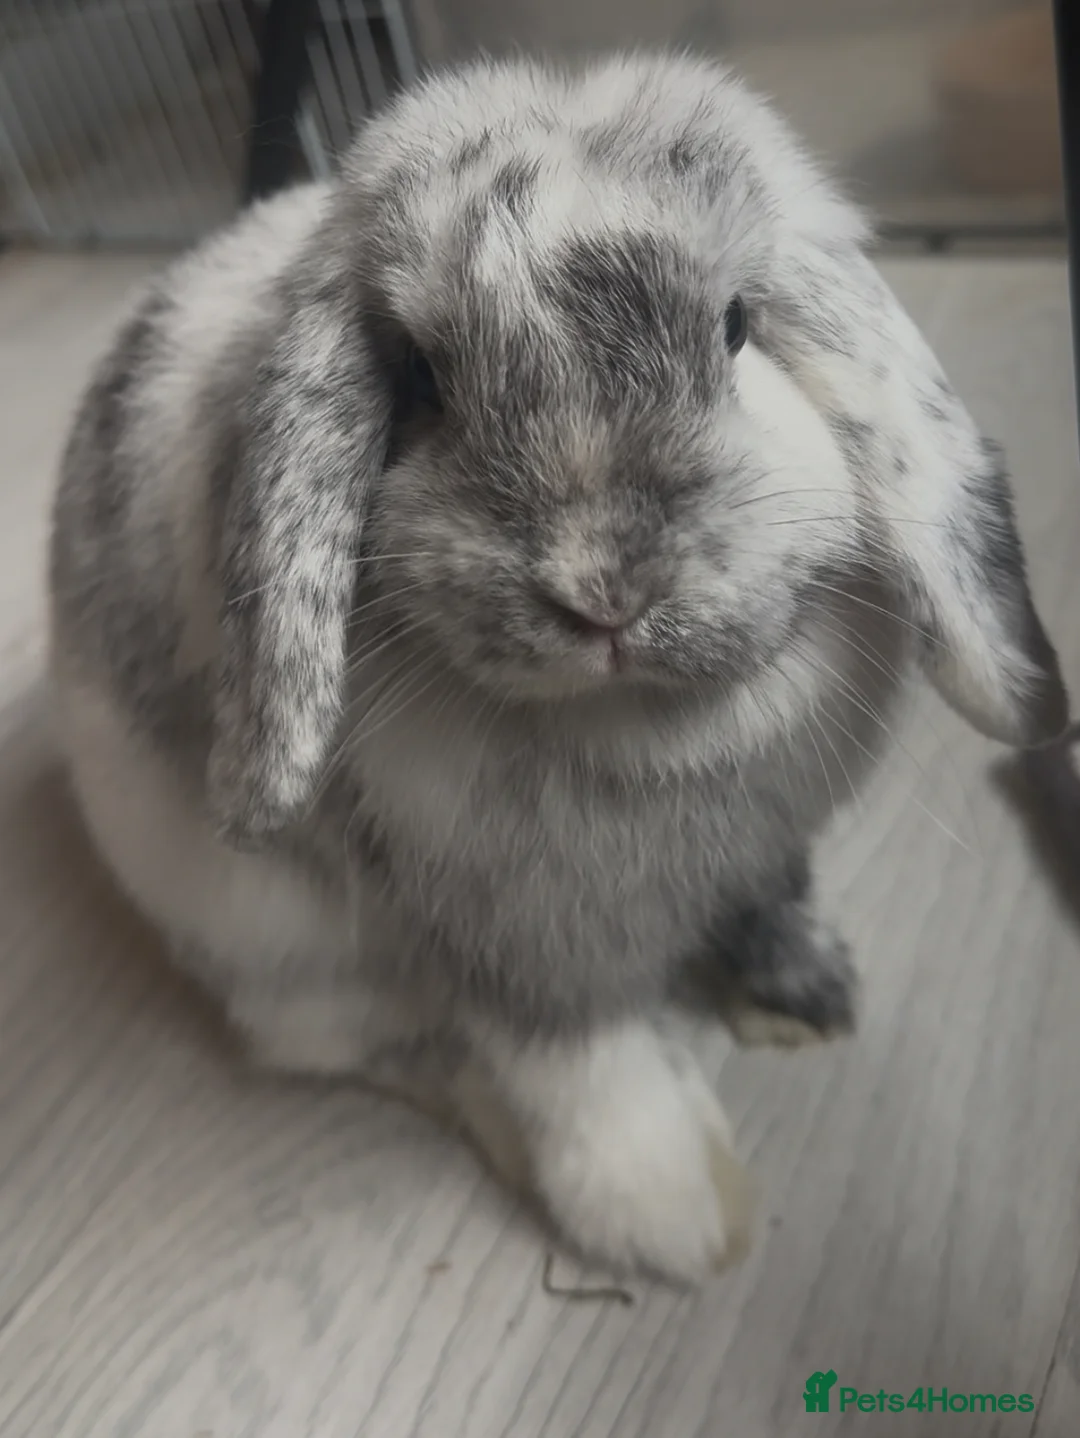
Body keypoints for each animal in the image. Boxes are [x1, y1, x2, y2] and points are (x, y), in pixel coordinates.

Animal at [48, 51, 1067, 1285]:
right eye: (420, 376)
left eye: (736, 326)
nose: (602, 589)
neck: (644, 731)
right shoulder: (514, 945)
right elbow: (576, 1067)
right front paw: (671, 1217)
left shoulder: (763, 848)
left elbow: (767, 898)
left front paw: (814, 988)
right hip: (277, 941)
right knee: (354, 1046)